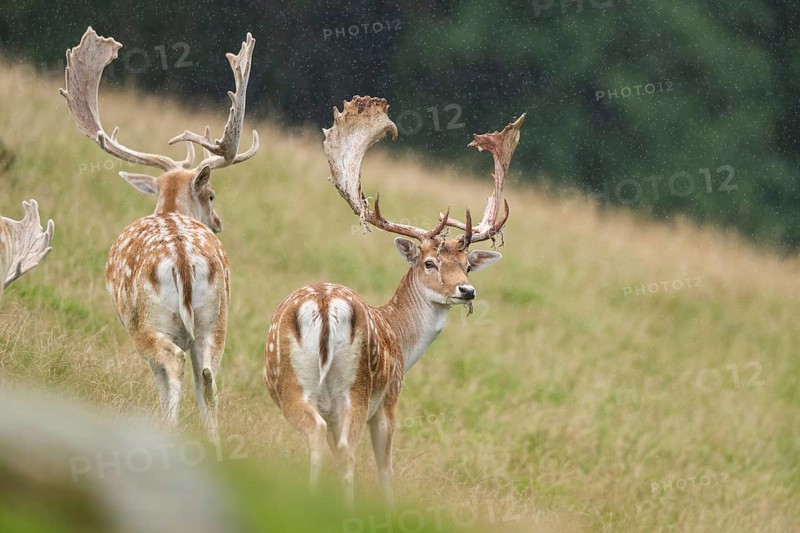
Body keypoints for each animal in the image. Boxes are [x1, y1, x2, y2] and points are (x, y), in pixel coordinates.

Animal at [60, 27, 259, 444]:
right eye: (212, 195)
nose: (217, 222)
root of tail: (182, 260)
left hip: (145, 322)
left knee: (173, 362)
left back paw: (167, 429)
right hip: (216, 321)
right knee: (207, 377)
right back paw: (213, 443)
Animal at [263, 96, 525, 506]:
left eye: (467, 265)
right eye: (430, 262)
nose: (467, 291)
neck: (402, 338)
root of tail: (322, 306)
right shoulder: (389, 401)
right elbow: (385, 470)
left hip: (287, 381)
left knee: (315, 437)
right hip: (356, 390)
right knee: (345, 450)